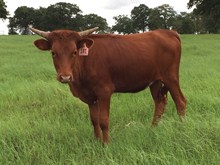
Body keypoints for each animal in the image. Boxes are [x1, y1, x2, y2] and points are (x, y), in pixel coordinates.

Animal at [29, 26, 186, 143]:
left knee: (180, 102)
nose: (65, 77)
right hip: (155, 82)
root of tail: (168, 32)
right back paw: (152, 129)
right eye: (53, 53)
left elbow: (104, 120)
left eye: (74, 52)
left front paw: (106, 144)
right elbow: (94, 120)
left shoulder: (104, 92)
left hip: (171, 77)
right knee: (160, 103)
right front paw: (97, 141)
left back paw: (181, 129)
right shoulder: (90, 97)